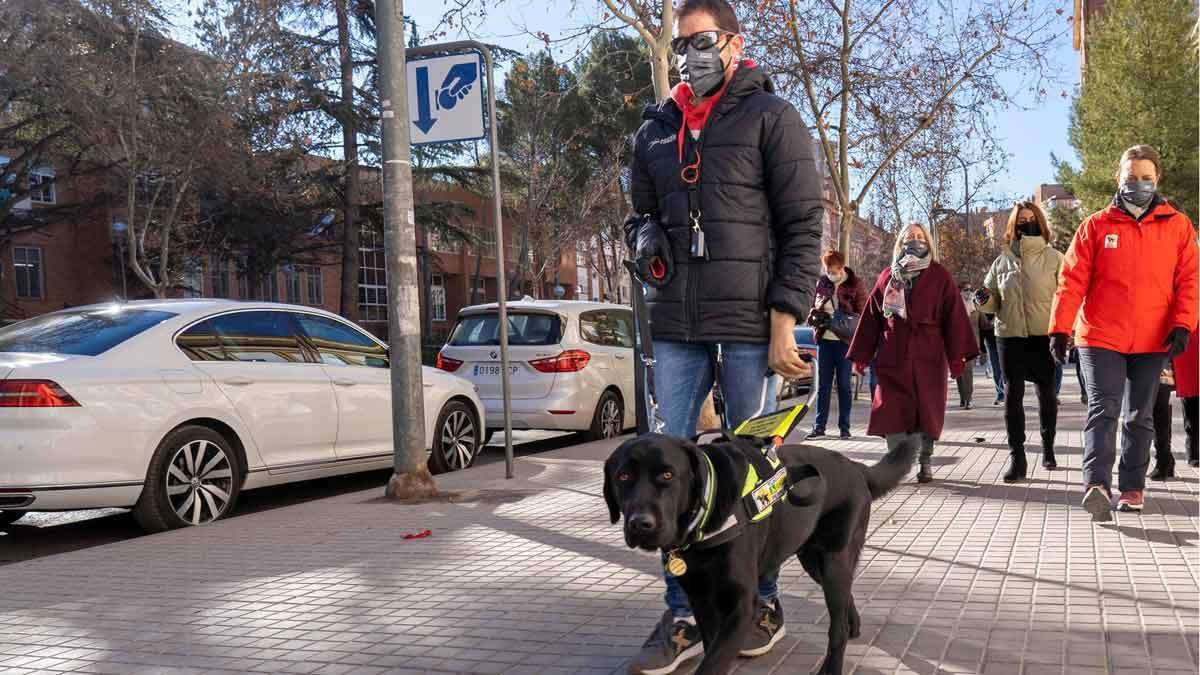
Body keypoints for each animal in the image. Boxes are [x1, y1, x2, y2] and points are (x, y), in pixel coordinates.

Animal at [604, 429, 912, 672]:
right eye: (623, 476)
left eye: (667, 475)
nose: (640, 524)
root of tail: (855, 466)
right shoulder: (701, 600)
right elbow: (712, 650)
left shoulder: (742, 605)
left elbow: (713, 663)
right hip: (813, 559)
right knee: (845, 593)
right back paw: (853, 624)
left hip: (833, 559)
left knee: (837, 628)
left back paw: (834, 662)